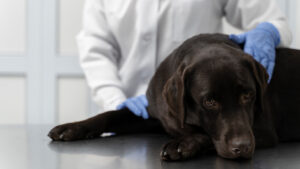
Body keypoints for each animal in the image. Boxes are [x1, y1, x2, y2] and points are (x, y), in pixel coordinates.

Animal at [48, 33, 300, 161]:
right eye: (209, 101)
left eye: (248, 95)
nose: (243, 147)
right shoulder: (155, 117)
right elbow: (110, 115)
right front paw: (72, 128)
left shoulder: (263, 131)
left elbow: (204, 134)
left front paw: (183, 144)